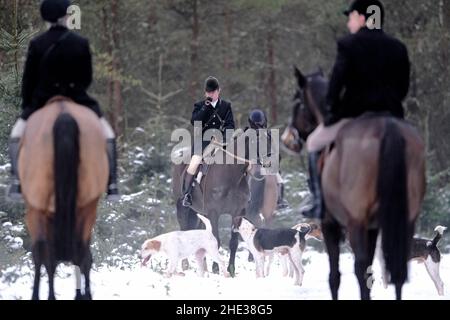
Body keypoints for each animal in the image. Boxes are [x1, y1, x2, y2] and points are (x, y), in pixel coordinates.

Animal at [18, 98, 109, 300]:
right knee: (81, 252)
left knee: (48, 255)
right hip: (87, 207)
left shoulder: (35, 214)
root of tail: (63, 111)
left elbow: (41, 256)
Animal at [171, 127, 270, 276]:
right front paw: (217, 268)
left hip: (201, 213)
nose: (269, 162)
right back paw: (185, 265)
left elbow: (233, 243)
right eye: (258, 140)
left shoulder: (237, 213)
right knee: (184, 230)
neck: (231, 174)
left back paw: (203, 266)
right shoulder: (214, 213)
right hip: (182, 207)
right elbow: (216, 241)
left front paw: (231, 269)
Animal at [282, 67, 426, 300]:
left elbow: (335, 275)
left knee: (360, 268)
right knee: (397, 270)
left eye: (297, 101)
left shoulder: (331, 223)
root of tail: (388, 129)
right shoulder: (374, 226)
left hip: (356, 221)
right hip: (405, 218)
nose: (288, 139)